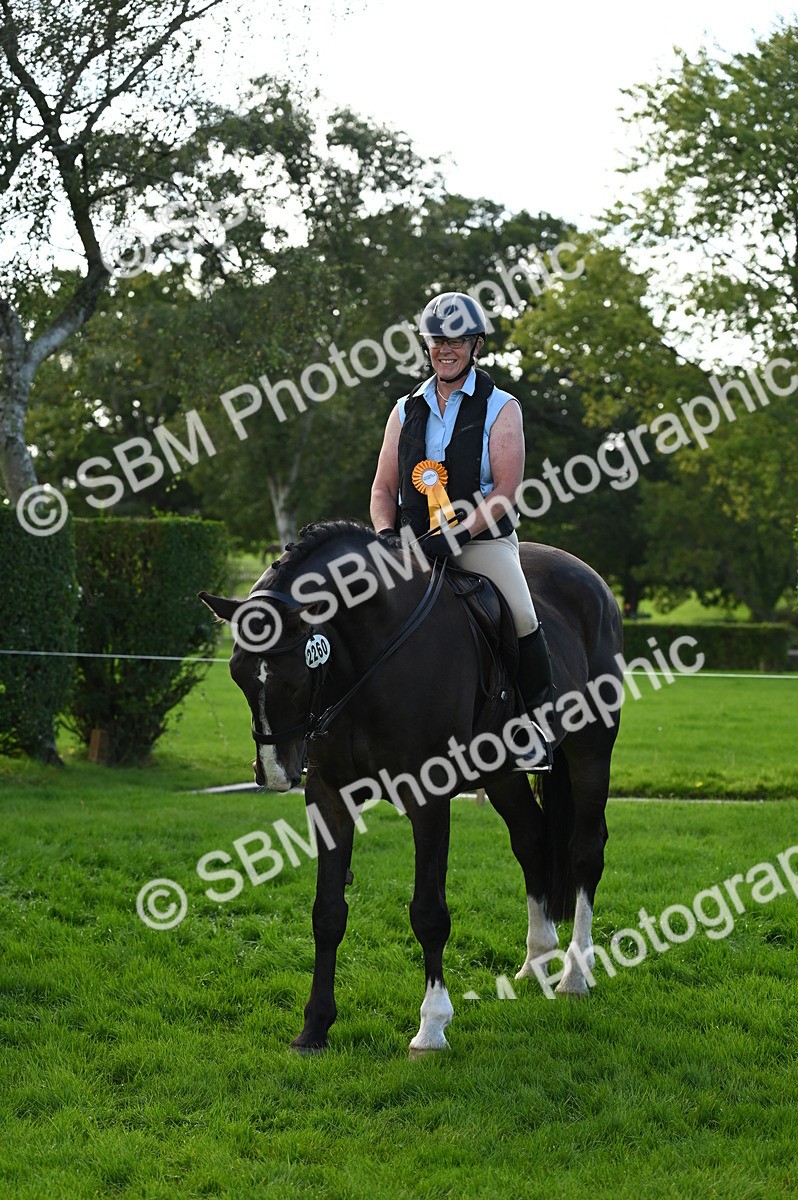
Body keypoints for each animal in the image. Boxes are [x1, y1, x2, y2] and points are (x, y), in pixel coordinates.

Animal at [200, 520, 624, 1054]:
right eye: (237, 674)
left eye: (297, 676)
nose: (276, 773)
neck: (370, 656)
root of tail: (592, 579)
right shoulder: (329, 796)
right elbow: (327, 913)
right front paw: (314, 1027)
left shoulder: (430, 796)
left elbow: (429, 913)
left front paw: (432, 1026)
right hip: (503, 774)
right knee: (530, 841)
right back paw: (537, 961)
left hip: (592, 748)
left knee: (585, 850)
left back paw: (574, 974)